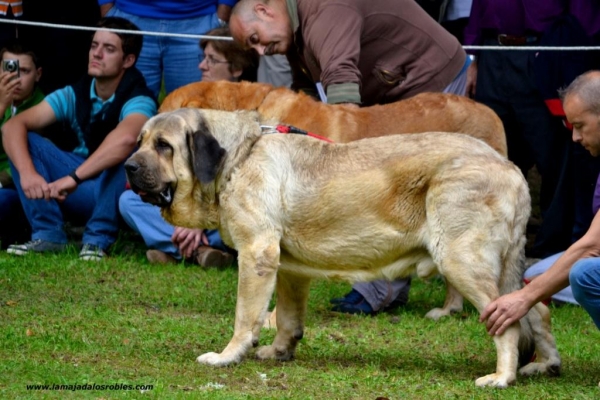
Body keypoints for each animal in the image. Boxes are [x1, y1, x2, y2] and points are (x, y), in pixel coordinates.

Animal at [124, 108, 560, 388]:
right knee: (534, 308)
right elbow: (288, 318)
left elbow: (245, 317)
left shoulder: (256, 253)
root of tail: (511, 169)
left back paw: (501, 377)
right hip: (498, 267)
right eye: (140, 142)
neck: (236, 157)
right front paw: (279, 352)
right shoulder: (289, 268)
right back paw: (544, 366)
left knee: (507, 320)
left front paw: (228, 356)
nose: (128, 167)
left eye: (164, 146)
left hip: (461, 260)